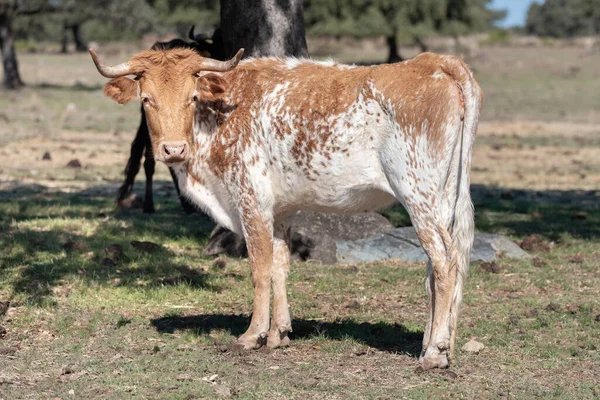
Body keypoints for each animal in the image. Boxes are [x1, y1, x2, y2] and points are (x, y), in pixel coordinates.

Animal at [89, 46, 482, 368]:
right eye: (146, 99)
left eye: (192, 97)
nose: (173, 149)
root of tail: (436, 62)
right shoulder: (280, 211)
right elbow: (280, 267)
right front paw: (279, 334)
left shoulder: (251, 199)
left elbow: (260, 268)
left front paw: (252, 334)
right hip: (443, 196)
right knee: (439, 266)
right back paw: (434, 344)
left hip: (417, 191)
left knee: (444, 261)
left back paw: (435, 352)